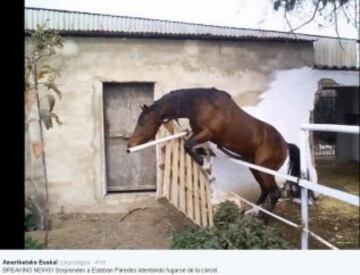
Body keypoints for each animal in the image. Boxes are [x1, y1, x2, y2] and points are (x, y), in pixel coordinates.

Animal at [126, 88, 300, 224]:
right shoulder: (198, 133)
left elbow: (187, 145)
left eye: (142, 121)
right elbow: (195, 147)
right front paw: (205, 160)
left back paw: (263, 221)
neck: (200, 106)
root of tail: (285, 144)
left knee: (274, 193)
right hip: (256, 168)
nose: (129, 146)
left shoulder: (207, 133)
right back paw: (251, 213)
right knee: (265, 191)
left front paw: (204, 164)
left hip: (265, 170)